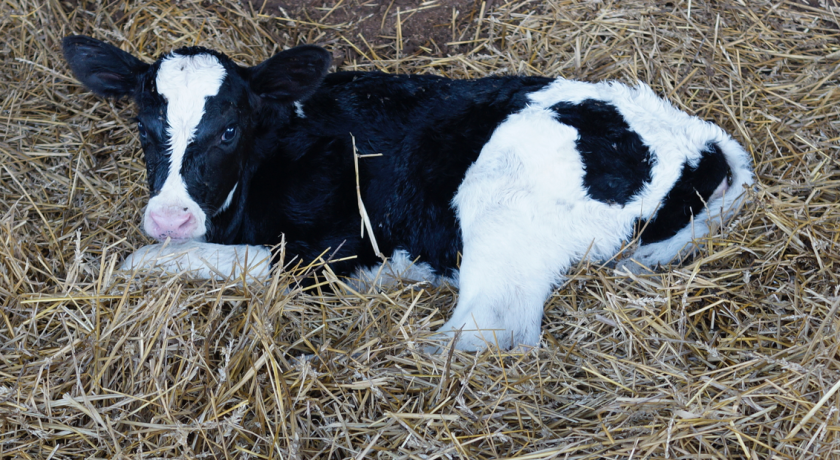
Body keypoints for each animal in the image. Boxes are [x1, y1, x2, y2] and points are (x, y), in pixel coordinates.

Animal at [60, 36, 756, 350]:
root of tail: (702, 145)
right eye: (144, 127)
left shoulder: (333, 249)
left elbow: (148, 260)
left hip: (502, 208)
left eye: (229, 128)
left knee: (487, 329)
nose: (170, 217)